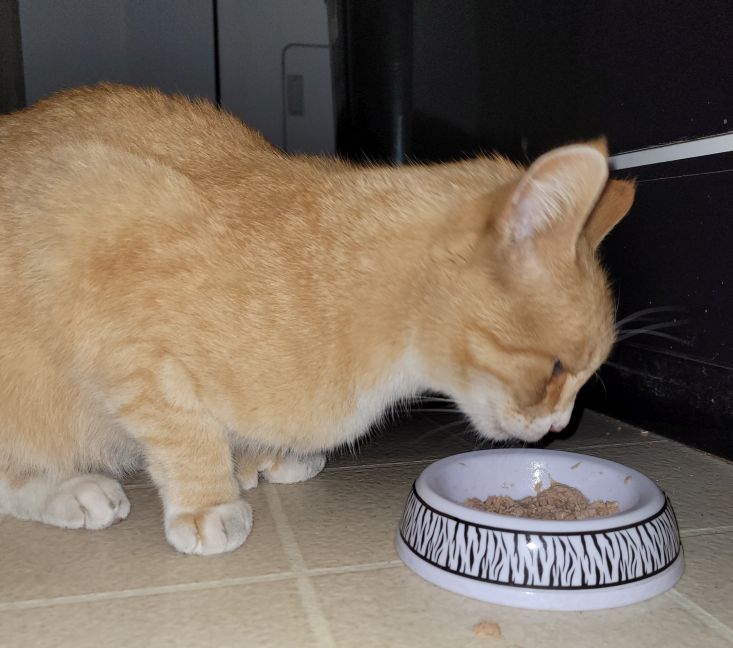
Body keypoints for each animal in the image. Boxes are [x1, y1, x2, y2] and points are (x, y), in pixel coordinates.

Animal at [0, 83, 628, 556]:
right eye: (556, 367)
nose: (558, 426)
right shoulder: (116, 311)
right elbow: (184, 429)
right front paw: (209, 500)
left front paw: (259, 458)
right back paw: (76, 491)